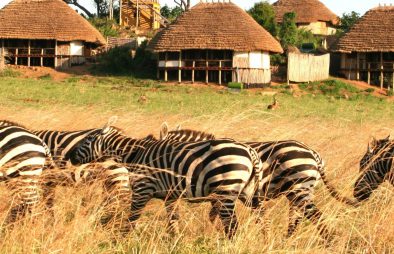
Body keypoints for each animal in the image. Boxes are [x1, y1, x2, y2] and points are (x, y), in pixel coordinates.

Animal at [69, 121, 264, 238]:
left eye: (87, 141)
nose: (70, 156)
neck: (134, 154)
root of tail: (250, 151)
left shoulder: (142, 190)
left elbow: (132, 219)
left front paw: (121, 241)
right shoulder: (170, 196)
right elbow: (173, 221)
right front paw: (175, 241)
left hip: (226, 192)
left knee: (232, 226)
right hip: (248, 193)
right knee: (260, 218)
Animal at [160, 124, 358, 237]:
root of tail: (313, 153)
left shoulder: (221, 193)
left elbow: (214, 217)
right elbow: (213, 217)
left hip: (300, 187)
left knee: (314, 216)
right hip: (297, 191)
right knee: (298, 217)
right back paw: (286, 241)